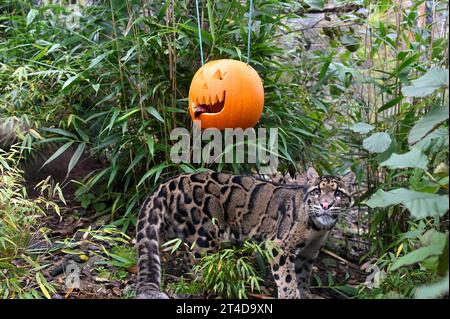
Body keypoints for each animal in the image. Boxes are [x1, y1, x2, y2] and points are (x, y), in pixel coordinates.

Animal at [135, 168, 354, 300]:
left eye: (338, 194)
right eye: (317, 191)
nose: (326, 205)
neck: (318, 228)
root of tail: (171, 181)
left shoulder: (308, 253)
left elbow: (302, 276)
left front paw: (305, 294)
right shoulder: (278, 246)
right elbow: (287, 278)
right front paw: (291, 295)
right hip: (204, 235)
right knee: (197, 264)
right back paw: (214, 287)